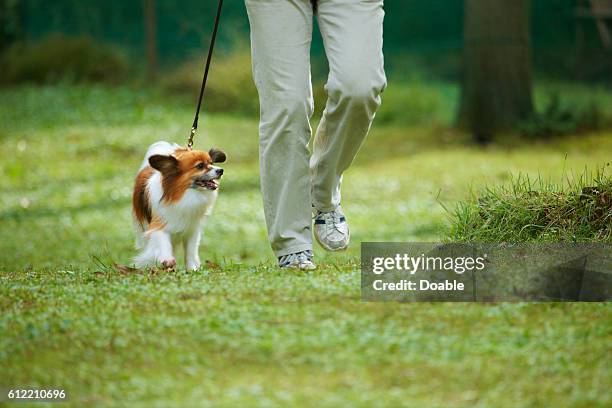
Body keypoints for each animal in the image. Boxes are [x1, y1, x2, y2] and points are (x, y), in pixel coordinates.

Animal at [133, 141, 226, 270]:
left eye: (211, 163)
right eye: (200, 166)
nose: (221, 170)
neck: (184, 194)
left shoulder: (192, 229)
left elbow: (191, 251)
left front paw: (192, 268)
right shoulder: (159, 225)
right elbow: (163, 243)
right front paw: (167, 260)